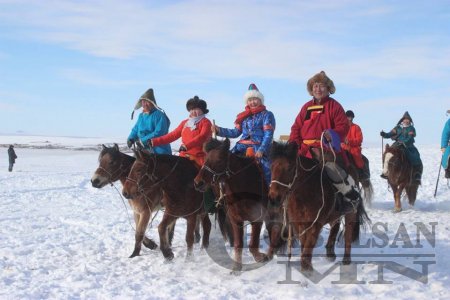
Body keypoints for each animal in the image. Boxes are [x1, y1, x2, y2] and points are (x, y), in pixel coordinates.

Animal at [192, 138, 284, 272]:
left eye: (219, 160)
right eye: (205, 159)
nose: (198, 182)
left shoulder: (257, 218)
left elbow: (254, 242)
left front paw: (259, 257)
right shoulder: (235, 218)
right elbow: (238, 243)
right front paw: (236, 267)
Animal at [268, 142, 370, 274]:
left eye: (290, 168)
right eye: (271, 167)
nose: (273, 197)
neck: (305, 193)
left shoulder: (316, 223)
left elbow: (309, 242)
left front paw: (307, 268)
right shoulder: (299, 223)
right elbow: (304, 242)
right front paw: (306, 266)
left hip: (351, 213)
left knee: (348, 233)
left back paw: (346, 260)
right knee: (335, 226)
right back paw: (330, 253)